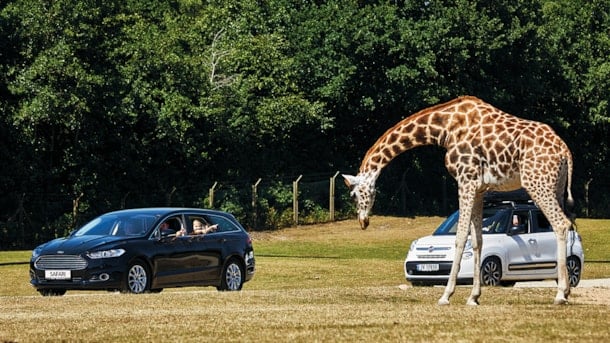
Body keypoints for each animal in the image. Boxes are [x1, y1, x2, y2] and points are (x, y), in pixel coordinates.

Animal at [344, 95, 572, 306]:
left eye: (353, 195)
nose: (363, 222)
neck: (444, 128)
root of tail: (565, 151)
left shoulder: (465, 180)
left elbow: (460, 237)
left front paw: (446, 295)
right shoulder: (479, 188)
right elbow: (478, 240)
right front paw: (473, 297)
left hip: (536, 183)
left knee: (561, 223)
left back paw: (560, 294)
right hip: (556, 186)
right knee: (567, 224)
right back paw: (567, 290)